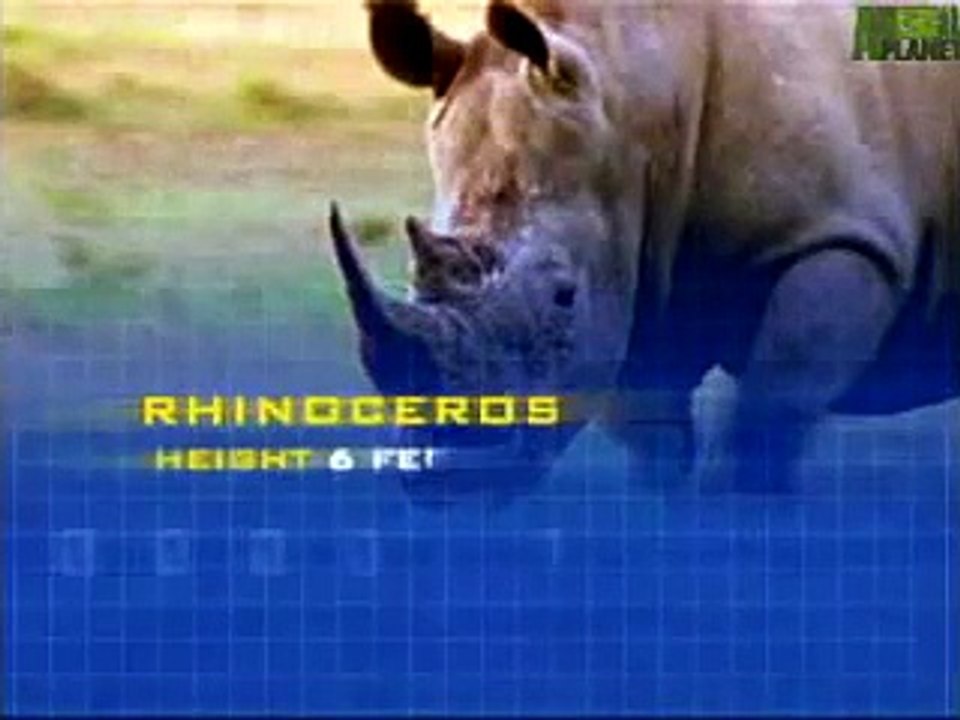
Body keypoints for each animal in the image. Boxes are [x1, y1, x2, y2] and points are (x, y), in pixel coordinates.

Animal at [329, 0, 959, 502]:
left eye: (564, 297)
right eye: (415, 282)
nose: (449, 477)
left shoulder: (840, 238)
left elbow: (763, 424)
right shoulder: (635, 266)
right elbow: (654, 444)